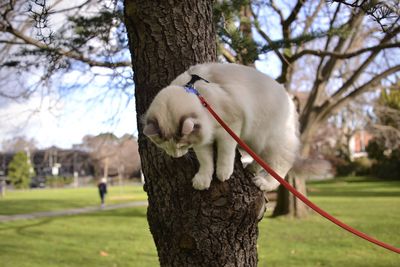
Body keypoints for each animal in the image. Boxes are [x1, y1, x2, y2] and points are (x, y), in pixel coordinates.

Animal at [142, 63, 298, 193]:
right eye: (164, 146)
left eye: (181, 146)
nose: (176, 156)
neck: (196, 93)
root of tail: (289, 98)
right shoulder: (202, 140)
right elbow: (205, 161)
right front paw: (203, 180)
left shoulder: (230, 127)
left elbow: (225, 154)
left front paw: (223, 173)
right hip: (256, 143)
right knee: (262, 161)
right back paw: (251, 169)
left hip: (271, 142)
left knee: (280, 166)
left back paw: (263, 183)